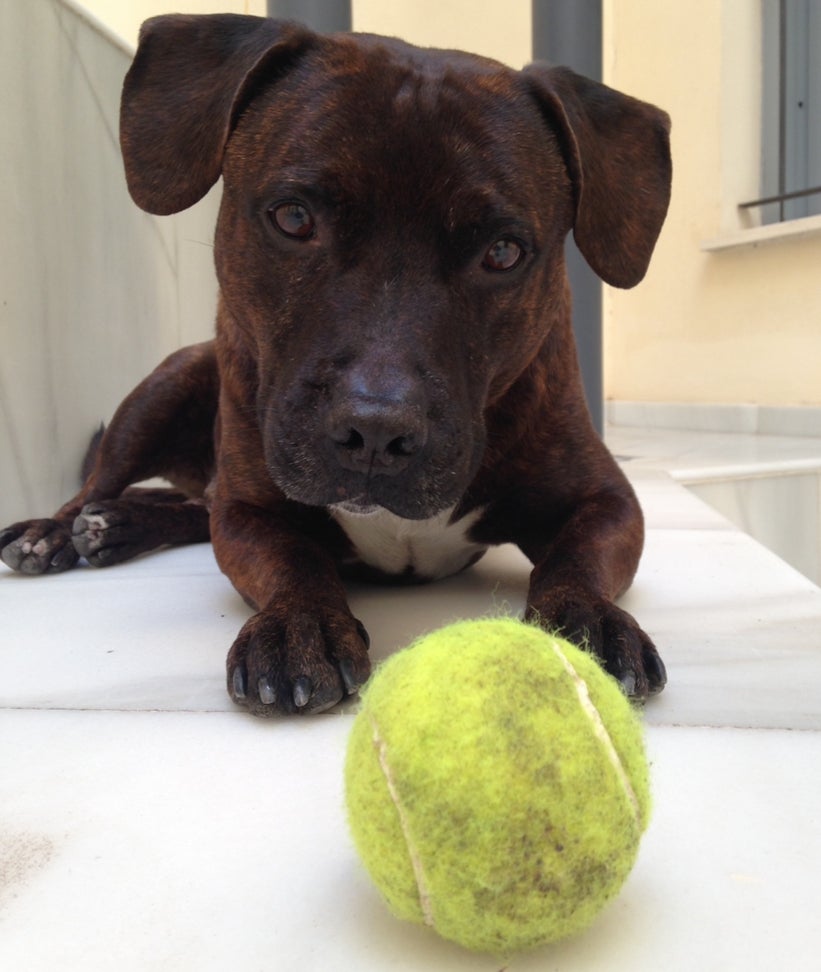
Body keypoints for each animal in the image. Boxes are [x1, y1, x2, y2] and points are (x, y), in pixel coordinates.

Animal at [0, 13, 668, 712]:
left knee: (188, 509)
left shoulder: (607, 500)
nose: (375, 431)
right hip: (162, 391)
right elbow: (292, 558)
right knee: (99, 486)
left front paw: (585, 622)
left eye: (503, 252)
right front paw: (300, 624)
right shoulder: (250, 512)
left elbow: (578, 559)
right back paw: (57, 530)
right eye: (294, 218)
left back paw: (119, 525)